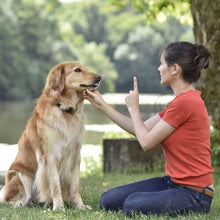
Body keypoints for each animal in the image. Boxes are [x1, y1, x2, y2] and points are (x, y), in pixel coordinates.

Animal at [0, 61, 101, 211]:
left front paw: (80, 206)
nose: (99, 77)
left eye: (86, 69)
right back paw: (20, 203)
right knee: (8, 199)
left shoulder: (75, 155)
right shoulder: (51, 156)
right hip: (21, 175)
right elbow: (55, 184)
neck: (64, 109)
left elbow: (75, 186)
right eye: (77, 70)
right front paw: (58, 207)